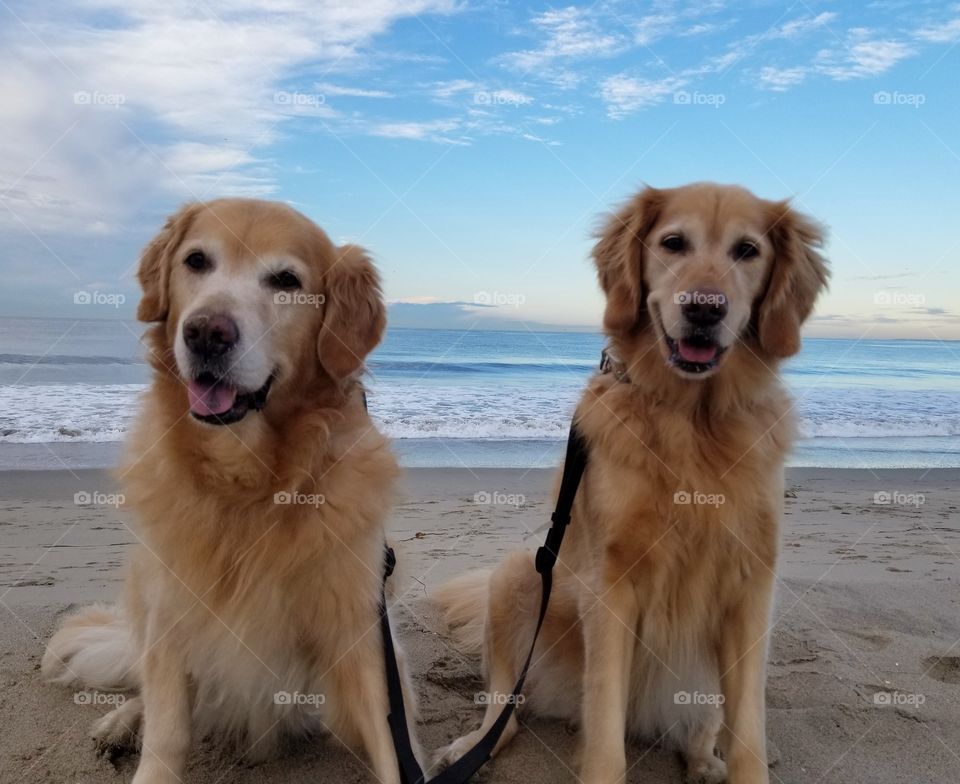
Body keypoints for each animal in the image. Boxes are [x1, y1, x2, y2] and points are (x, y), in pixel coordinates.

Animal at [41, 201, 418, 784]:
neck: (248, 483)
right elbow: (167, 732)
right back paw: (119, 723)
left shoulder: (361, 634)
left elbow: (391, 746)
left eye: (286, 281)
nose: (206, 333)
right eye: (197, 261)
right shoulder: (171, 616)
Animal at [438, 184, 828, 784]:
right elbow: (604, 730)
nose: (703, 308)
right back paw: (472, 745)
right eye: (673, 243)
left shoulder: (751, 587)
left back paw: (704, 762)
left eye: (747, 250)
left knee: (703, 729)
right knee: (506, 714)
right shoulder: (612, 583)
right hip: (517, 576)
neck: (692, 416)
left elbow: (749, 733)